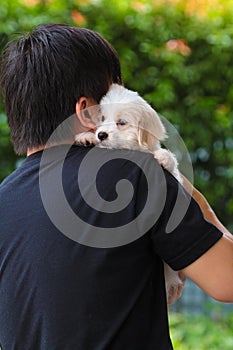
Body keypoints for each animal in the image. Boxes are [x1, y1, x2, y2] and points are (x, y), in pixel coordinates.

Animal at [74, 85, 184, 304]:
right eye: (102, 118)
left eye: (122, 122)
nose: (101, 135)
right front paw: (85, 137)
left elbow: (171, 163)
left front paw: (164, 158)